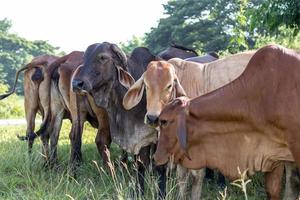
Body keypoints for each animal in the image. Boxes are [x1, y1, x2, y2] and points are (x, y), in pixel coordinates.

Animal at [72, 42, 168, 198]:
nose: (76, 83)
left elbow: (159, 165)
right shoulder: (139, 138)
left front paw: (161, 193)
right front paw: (139, 192)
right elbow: (140, 164)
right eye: (84, 57)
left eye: (103, 57)